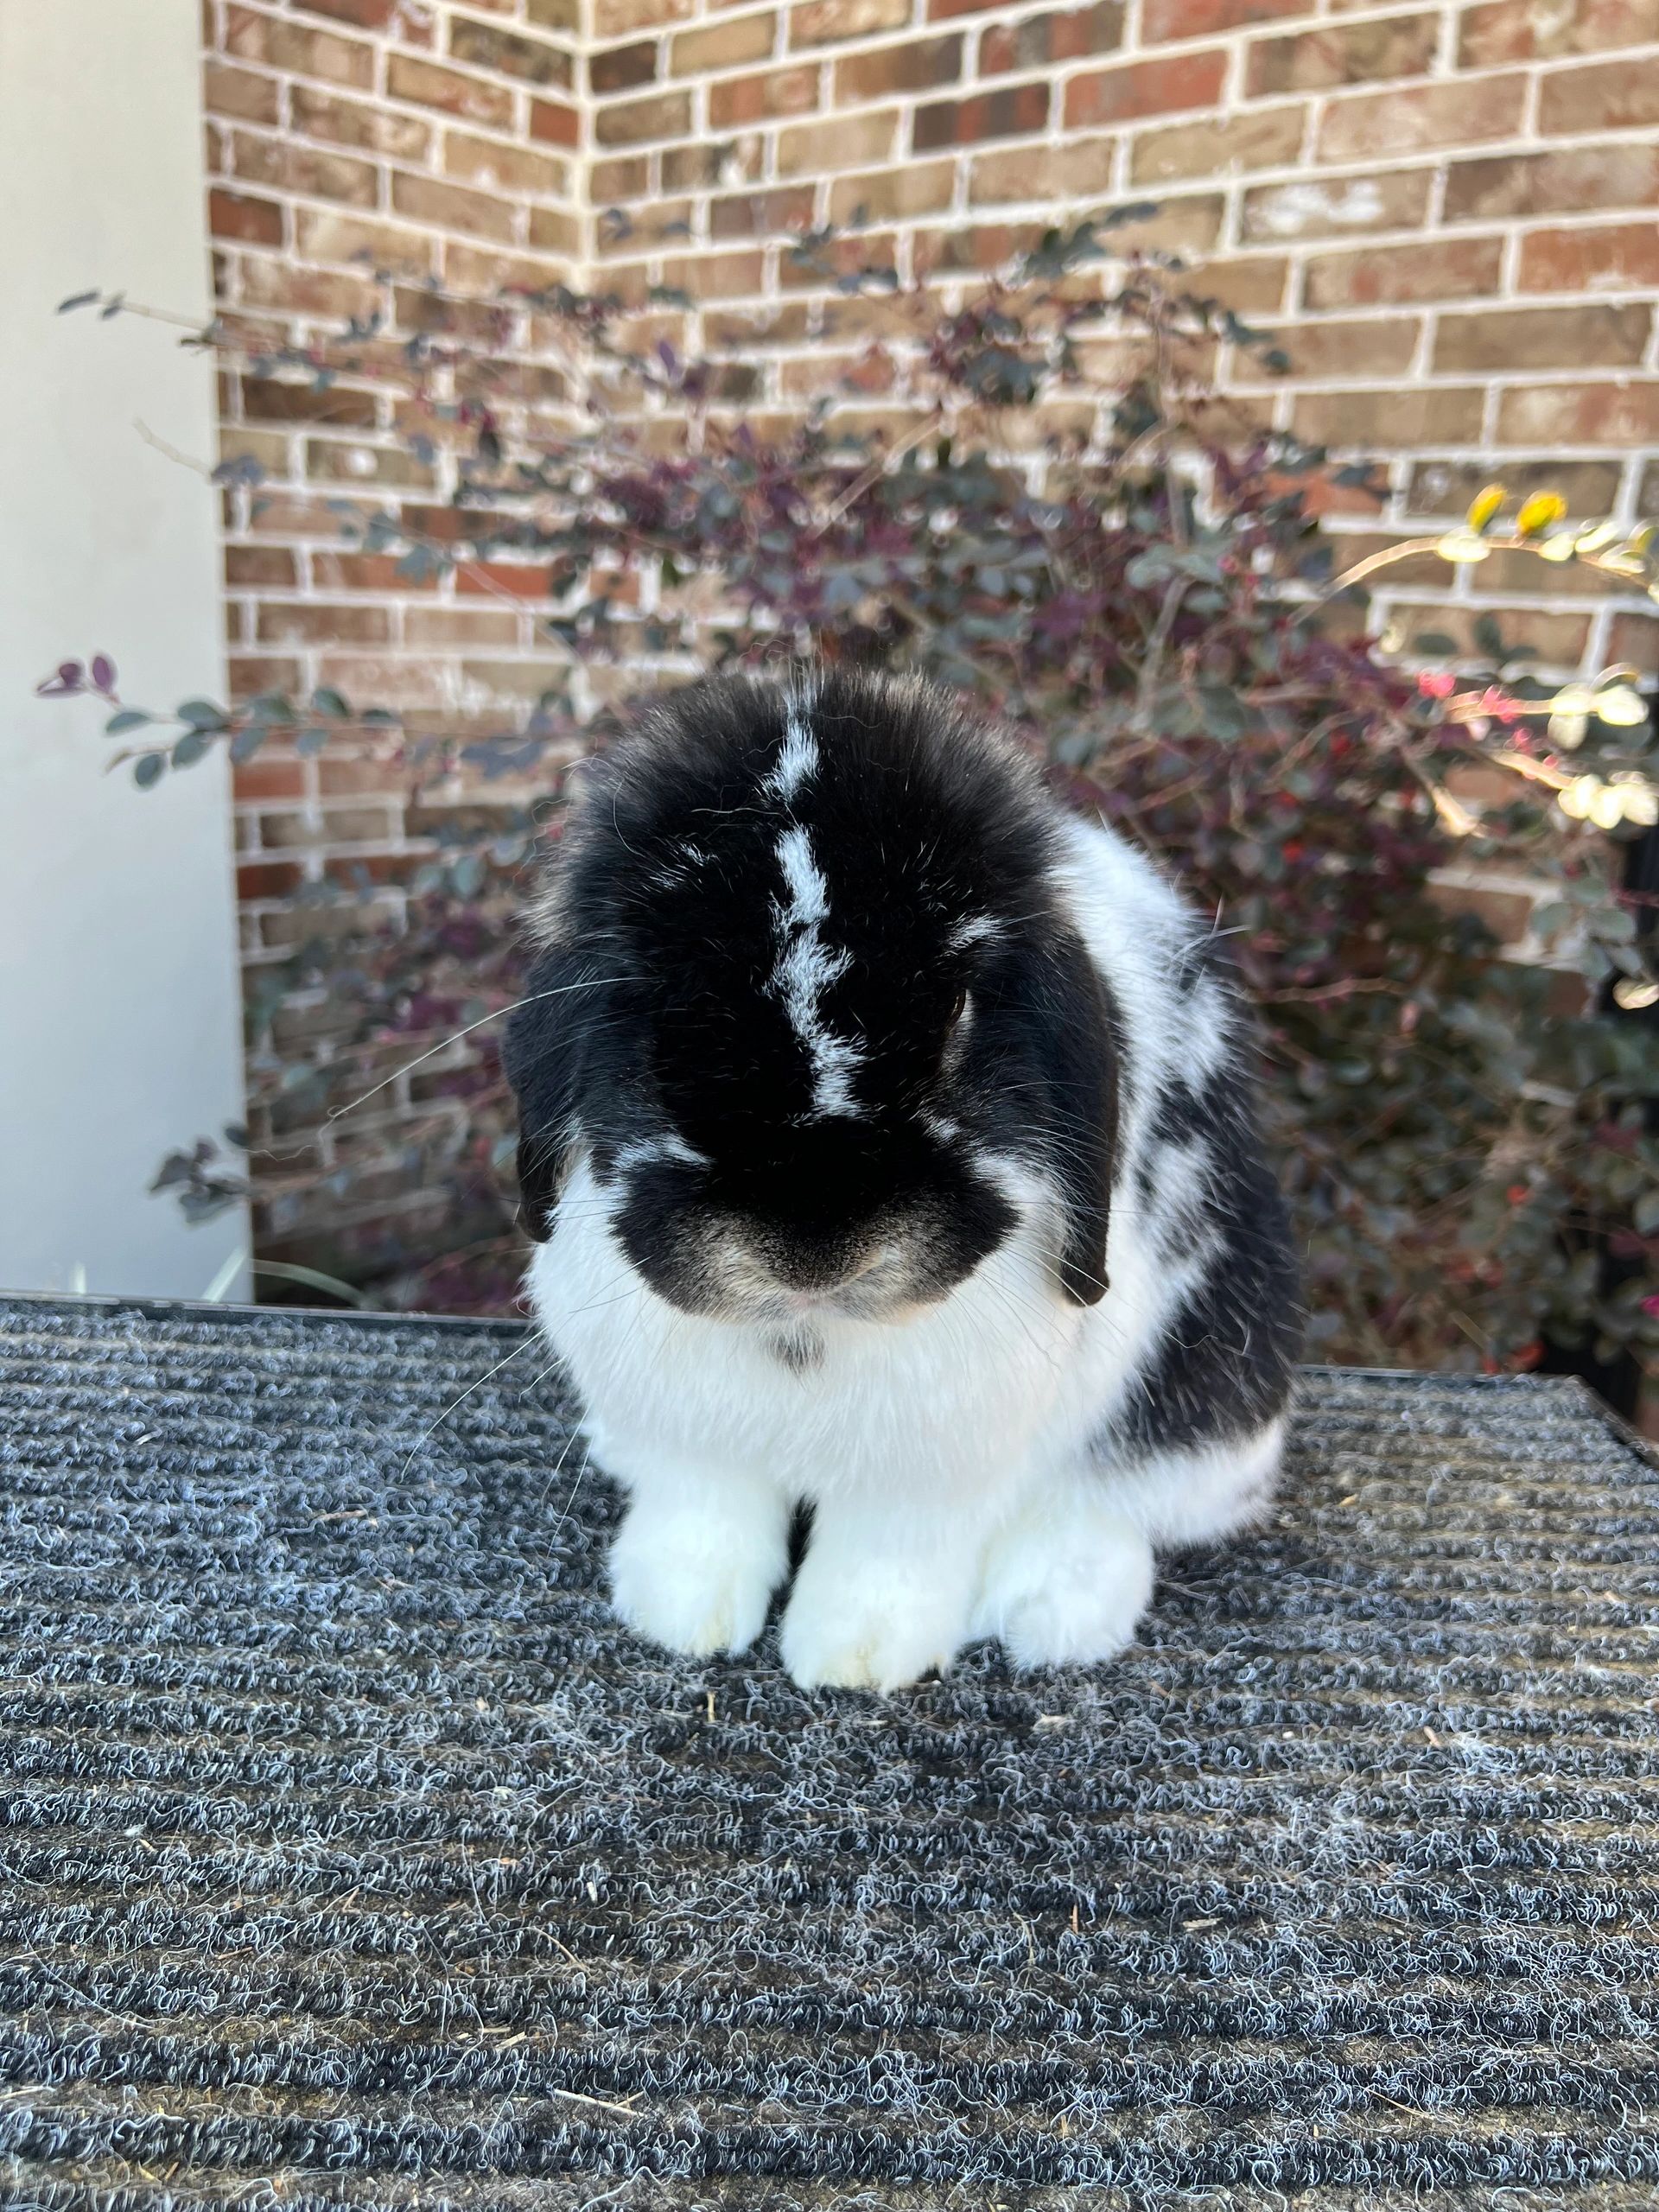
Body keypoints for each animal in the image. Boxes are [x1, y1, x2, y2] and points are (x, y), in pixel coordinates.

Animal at [505, 668, 1301, 1691]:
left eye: (959, 1014)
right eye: (658, 1021)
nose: (810, 1244)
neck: (807, 1330)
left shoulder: (934, 1467)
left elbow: (886, 1555)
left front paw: (854, 1659)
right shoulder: (694, 1438)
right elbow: (703, 1515)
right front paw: (678, 1616)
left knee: (1117, 1501)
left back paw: (1054, 1613)